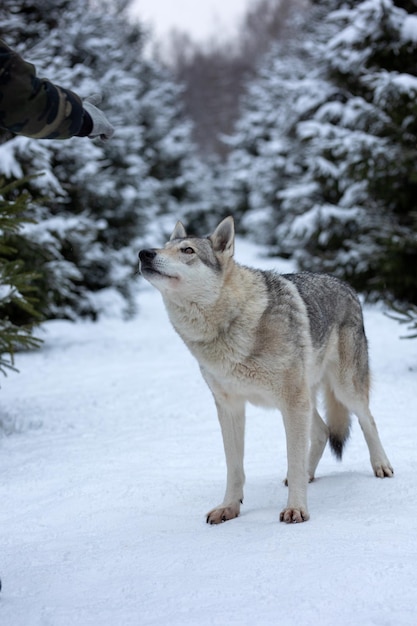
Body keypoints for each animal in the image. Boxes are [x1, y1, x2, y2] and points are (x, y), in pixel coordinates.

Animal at [137, 214, 394, 520]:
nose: (144, 253)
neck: (229, 324)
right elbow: (234, 467)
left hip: (343, 390)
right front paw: (228, 507)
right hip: (307, 399)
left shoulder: (292, 403)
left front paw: (296, 509)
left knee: (368, 420)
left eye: (187, 250)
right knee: (321, 432)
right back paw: (309, 474)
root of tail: (345, 284)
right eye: (163, 246)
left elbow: (293, 459)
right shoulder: (230, 407)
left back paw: (381, 466)